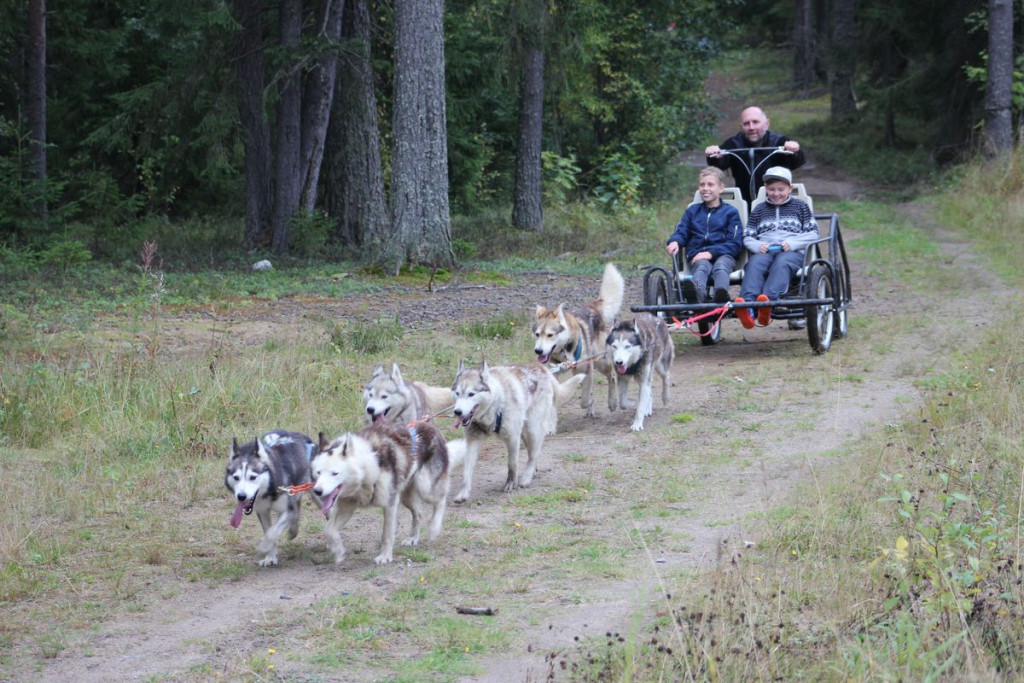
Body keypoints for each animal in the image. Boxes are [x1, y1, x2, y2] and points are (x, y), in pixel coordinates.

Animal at [225, 430, 316, 567]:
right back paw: (293, 530)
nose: (241, 496)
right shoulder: (263, 512)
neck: (269, 490)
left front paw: (264, 547)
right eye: (236, 477)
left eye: (253, 477)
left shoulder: (287, 510)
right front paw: (271, 557)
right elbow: (269, 531)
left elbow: (272, 533)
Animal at [311, 419, 455, 565]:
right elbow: (329, 530)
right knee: (419, 512)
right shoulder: (347, 506)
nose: (317, 491)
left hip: (425, 486)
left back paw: (434, 527)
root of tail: (429, 425)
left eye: (335, 473)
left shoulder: (390, 503)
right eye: (318, 472)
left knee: (441, 499)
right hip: (407, 498)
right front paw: (338, 551)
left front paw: (385, 556)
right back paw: (413, 538)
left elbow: (387, 534)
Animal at [450, 359, 585, 502]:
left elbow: (512, 464)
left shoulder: (513, 437)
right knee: (532, 452)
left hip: (532, 430)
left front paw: (511, 483)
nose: (457, 412)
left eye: (471, 394)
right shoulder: (473, 440)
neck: (496, 404)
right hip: (525, 433)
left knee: (533, 455)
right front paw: (463, 492)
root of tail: (542, 368)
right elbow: (466, 471)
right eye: (457, 393)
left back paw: (526, 478)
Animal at [533, 263, 625, 418]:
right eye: (537, 334)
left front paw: (589, 402)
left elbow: (585, 400)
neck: (564, 351)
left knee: (612, 376)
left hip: (601, 362)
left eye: (550, 335)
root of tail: (592, 308)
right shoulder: (555, 374)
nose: (538, 351)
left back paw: (612, 402)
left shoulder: (587, 369)